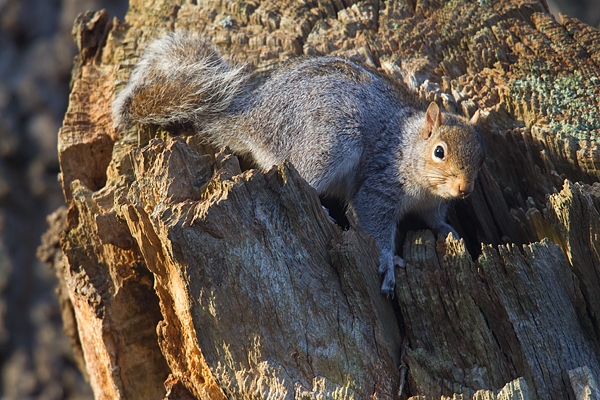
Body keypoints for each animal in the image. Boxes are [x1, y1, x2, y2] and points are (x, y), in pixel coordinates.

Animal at [112, 32, 486, 296]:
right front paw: (387, 263)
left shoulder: (431, 203)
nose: (465, 190)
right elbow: (373, 223)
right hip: (327, 143)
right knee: (302, 178)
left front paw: (450, 231)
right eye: (439, 151)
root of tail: (253, 119)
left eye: (480, 154)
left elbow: (434, 220)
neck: (410, 155)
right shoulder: (379, 185)